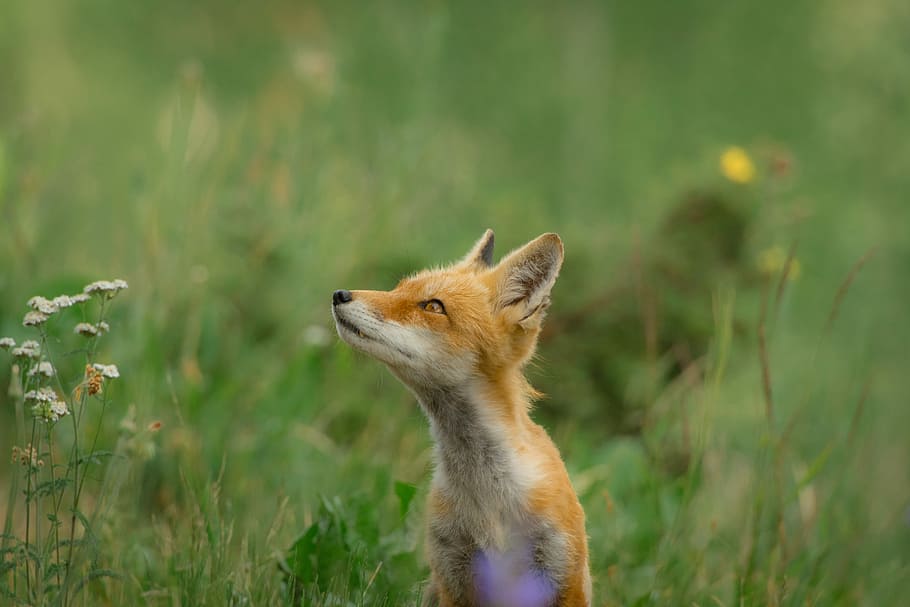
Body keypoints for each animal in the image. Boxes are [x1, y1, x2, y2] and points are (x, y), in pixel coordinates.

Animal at [331, 229, 591, 607]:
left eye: (432, 306)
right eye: (398, 288)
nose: (339, 295)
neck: (487, 499)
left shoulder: (562, 575)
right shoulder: (452, 574)